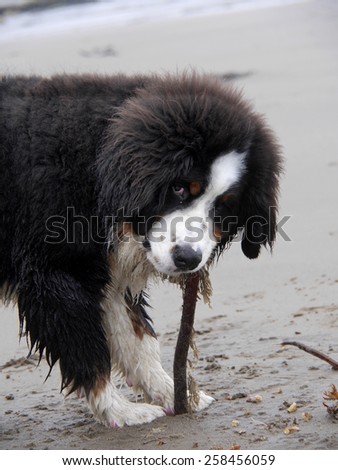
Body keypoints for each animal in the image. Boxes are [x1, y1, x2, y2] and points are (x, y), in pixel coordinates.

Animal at [0, 71, 282, 428]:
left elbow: (138, 340)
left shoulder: (109, 279)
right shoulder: (57, 275)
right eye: (179, 188)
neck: (97, 167)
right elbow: (86, 348)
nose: (187, 258)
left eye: (224, 207)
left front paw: (173, 393)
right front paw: (120, 410)